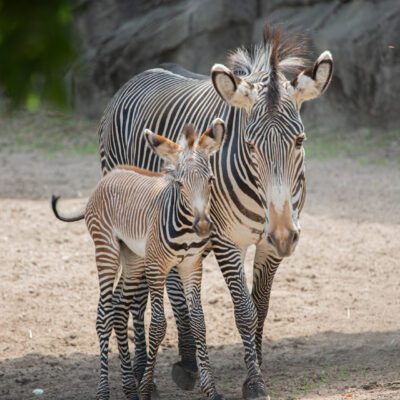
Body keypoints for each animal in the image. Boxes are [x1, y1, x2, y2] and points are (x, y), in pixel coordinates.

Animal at [51, 119, 225, 400]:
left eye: (210, 180)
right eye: (179, 184)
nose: (202, 227)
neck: (185, 226)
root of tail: (111, 174)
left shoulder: (191, 266)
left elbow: (199, 322)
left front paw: (211, 390)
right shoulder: (157, 267)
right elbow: (157, 326)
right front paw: (146, 389)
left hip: (133, 258)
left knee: (119, 310)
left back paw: (129, 388)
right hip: (107, 250)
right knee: (104, 314)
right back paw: (105, 391)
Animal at [97, 26, 332, 398]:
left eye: (300, 141)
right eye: (250, 145)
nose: (282, 234)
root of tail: (145, 72)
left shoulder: (268, 245)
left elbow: (260, 305)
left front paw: (255, 367)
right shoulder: (225, 240)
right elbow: (244, 311)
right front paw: (255, 382)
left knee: (174, 286)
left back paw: (185, 362)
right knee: (143, 296)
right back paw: (147, 372)